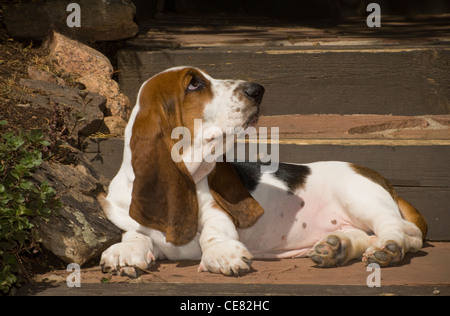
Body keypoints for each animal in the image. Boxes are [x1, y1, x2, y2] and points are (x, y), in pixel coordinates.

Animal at [97, 66, 426, 276]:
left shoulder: (218, 213)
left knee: (403, 231)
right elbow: (135, 234)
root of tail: (382, 180)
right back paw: (337, 248)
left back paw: (388, 247)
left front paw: (221, 254)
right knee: (366, 234)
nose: (257, 90)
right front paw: (124, 252)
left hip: (359, 197)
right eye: (194, 84)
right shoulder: (136, 221)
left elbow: (214, 232)